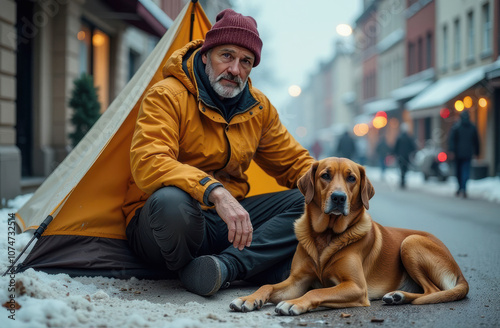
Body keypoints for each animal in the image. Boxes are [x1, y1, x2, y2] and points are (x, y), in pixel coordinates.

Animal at [230, 158, 468, 316]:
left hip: (410, 242)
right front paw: (248, 298)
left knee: (433, 291)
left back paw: (399, 296)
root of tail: (460, 272)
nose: (338, 198)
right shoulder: (296, 281)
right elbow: (267, 286)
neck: (326, 235)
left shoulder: (356, 287)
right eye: (325, 175)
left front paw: (293, 303)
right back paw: (397, 296)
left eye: (351, 178)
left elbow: (317, 292)